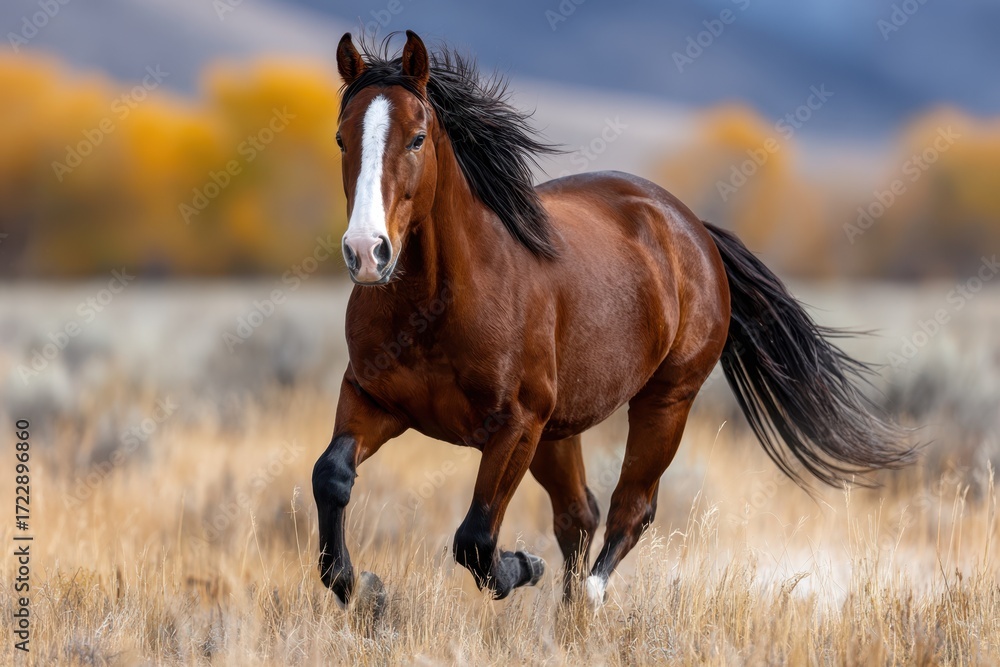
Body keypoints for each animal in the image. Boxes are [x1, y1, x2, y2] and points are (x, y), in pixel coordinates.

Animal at [312, 30, 914, 609]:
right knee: (580, 515)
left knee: (629, 509)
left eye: (416, 138)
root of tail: (691, 226)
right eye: (341, 138)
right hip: (560, 429)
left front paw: (522, 566)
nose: (367, 252)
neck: (435, 307)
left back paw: (590, 598)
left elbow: (476, 540)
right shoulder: (373, 399)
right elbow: (332, 477)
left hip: (663, 402)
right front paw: (363, 590)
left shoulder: (514, 426)